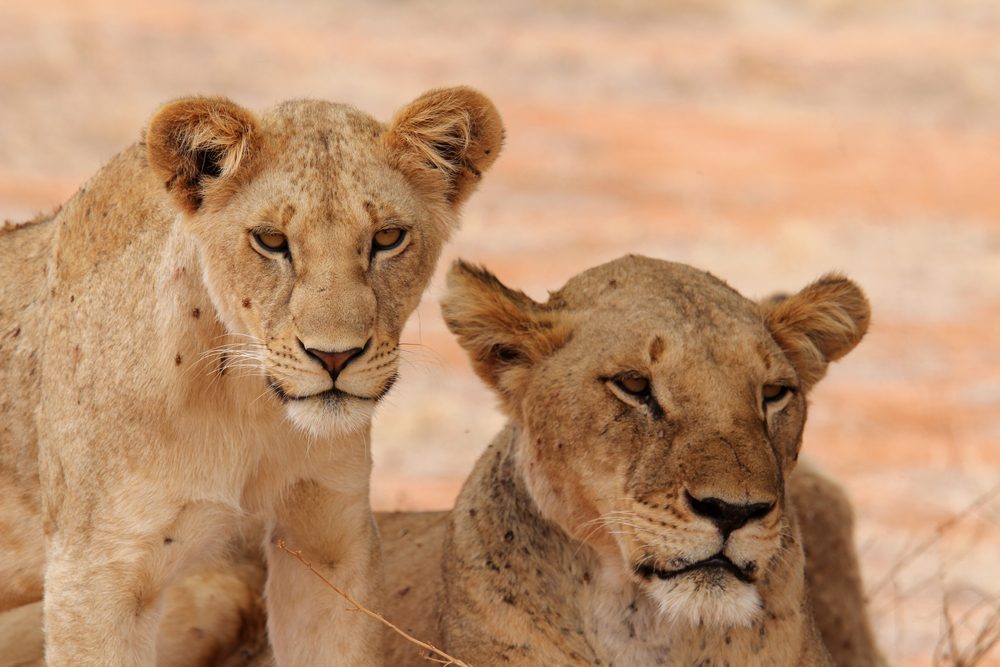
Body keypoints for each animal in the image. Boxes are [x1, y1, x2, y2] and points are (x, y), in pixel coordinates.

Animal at [0, 87, 503, 666]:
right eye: (271, 241)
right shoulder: (95, 570)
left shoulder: (328, 536)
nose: (335, 357)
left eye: (388, 237)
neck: (245, 403)